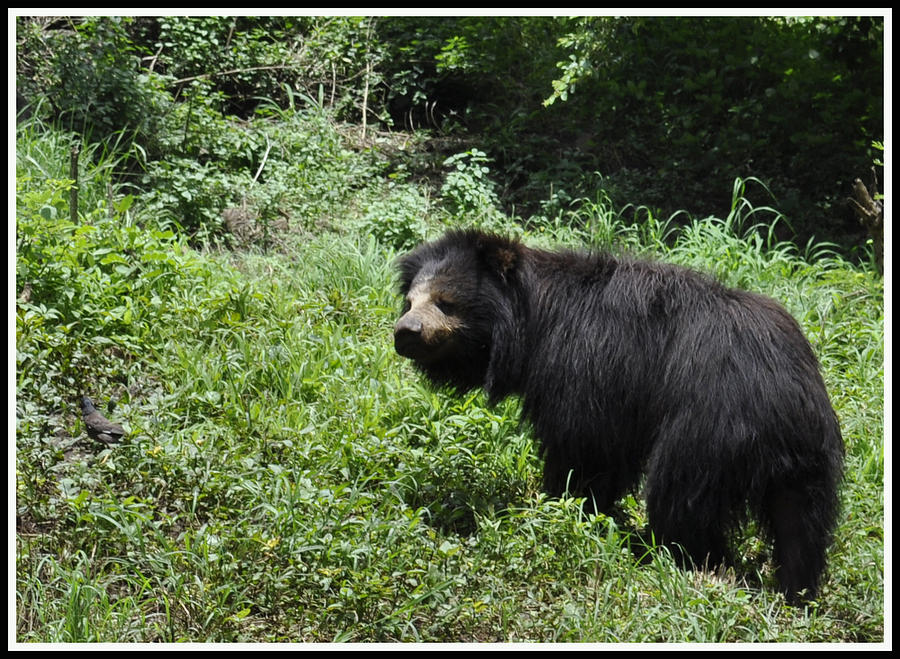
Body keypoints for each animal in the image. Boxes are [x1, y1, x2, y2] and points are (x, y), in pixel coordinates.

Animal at [392, 231, 844, 604]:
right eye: (411, 301)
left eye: (446, 303)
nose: (405, 332)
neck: (532, 322)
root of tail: (784, 393)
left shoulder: (587, 367)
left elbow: (584, 449)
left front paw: (565, 507)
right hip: (807, 461)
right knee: (800, 524)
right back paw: (795, 591)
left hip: (713, 428)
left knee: (681, 496)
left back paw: (681, 557)